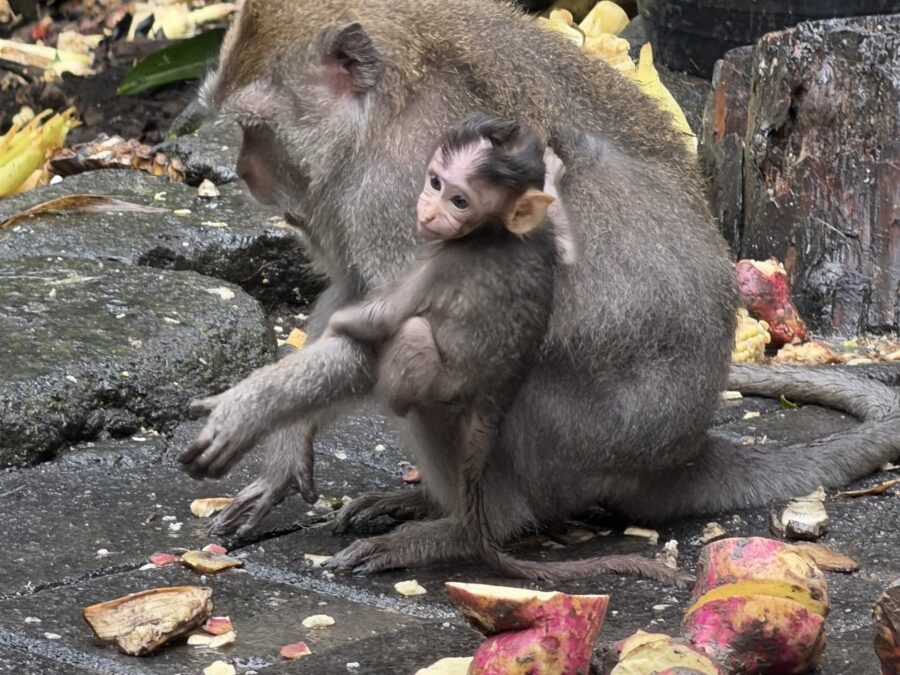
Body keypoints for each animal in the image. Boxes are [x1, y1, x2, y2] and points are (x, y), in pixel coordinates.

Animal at [180, 0, 900, 579]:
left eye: (255, 126)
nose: (244, 170)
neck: (386, 107)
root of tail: (680, 456)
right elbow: (352, 296)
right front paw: (282, 453)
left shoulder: (399, 179)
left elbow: (402, 329)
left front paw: (250, 411)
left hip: (576, 444)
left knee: (446, 365)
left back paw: (465, 530)